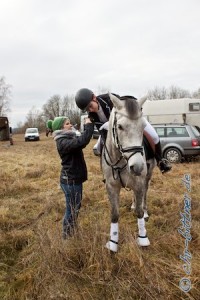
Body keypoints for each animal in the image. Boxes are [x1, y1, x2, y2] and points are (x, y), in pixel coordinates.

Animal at [101, 93, 156, 251]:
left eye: (143, 126)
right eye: (119, 126)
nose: (137, 166)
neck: (121, 161)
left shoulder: (139, 183)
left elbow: (139, 211)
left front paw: (143, 238)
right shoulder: (111, 187)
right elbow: (114, 214)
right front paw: (113, 243)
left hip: (147, 176)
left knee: (145, 193)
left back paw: (145, 210)